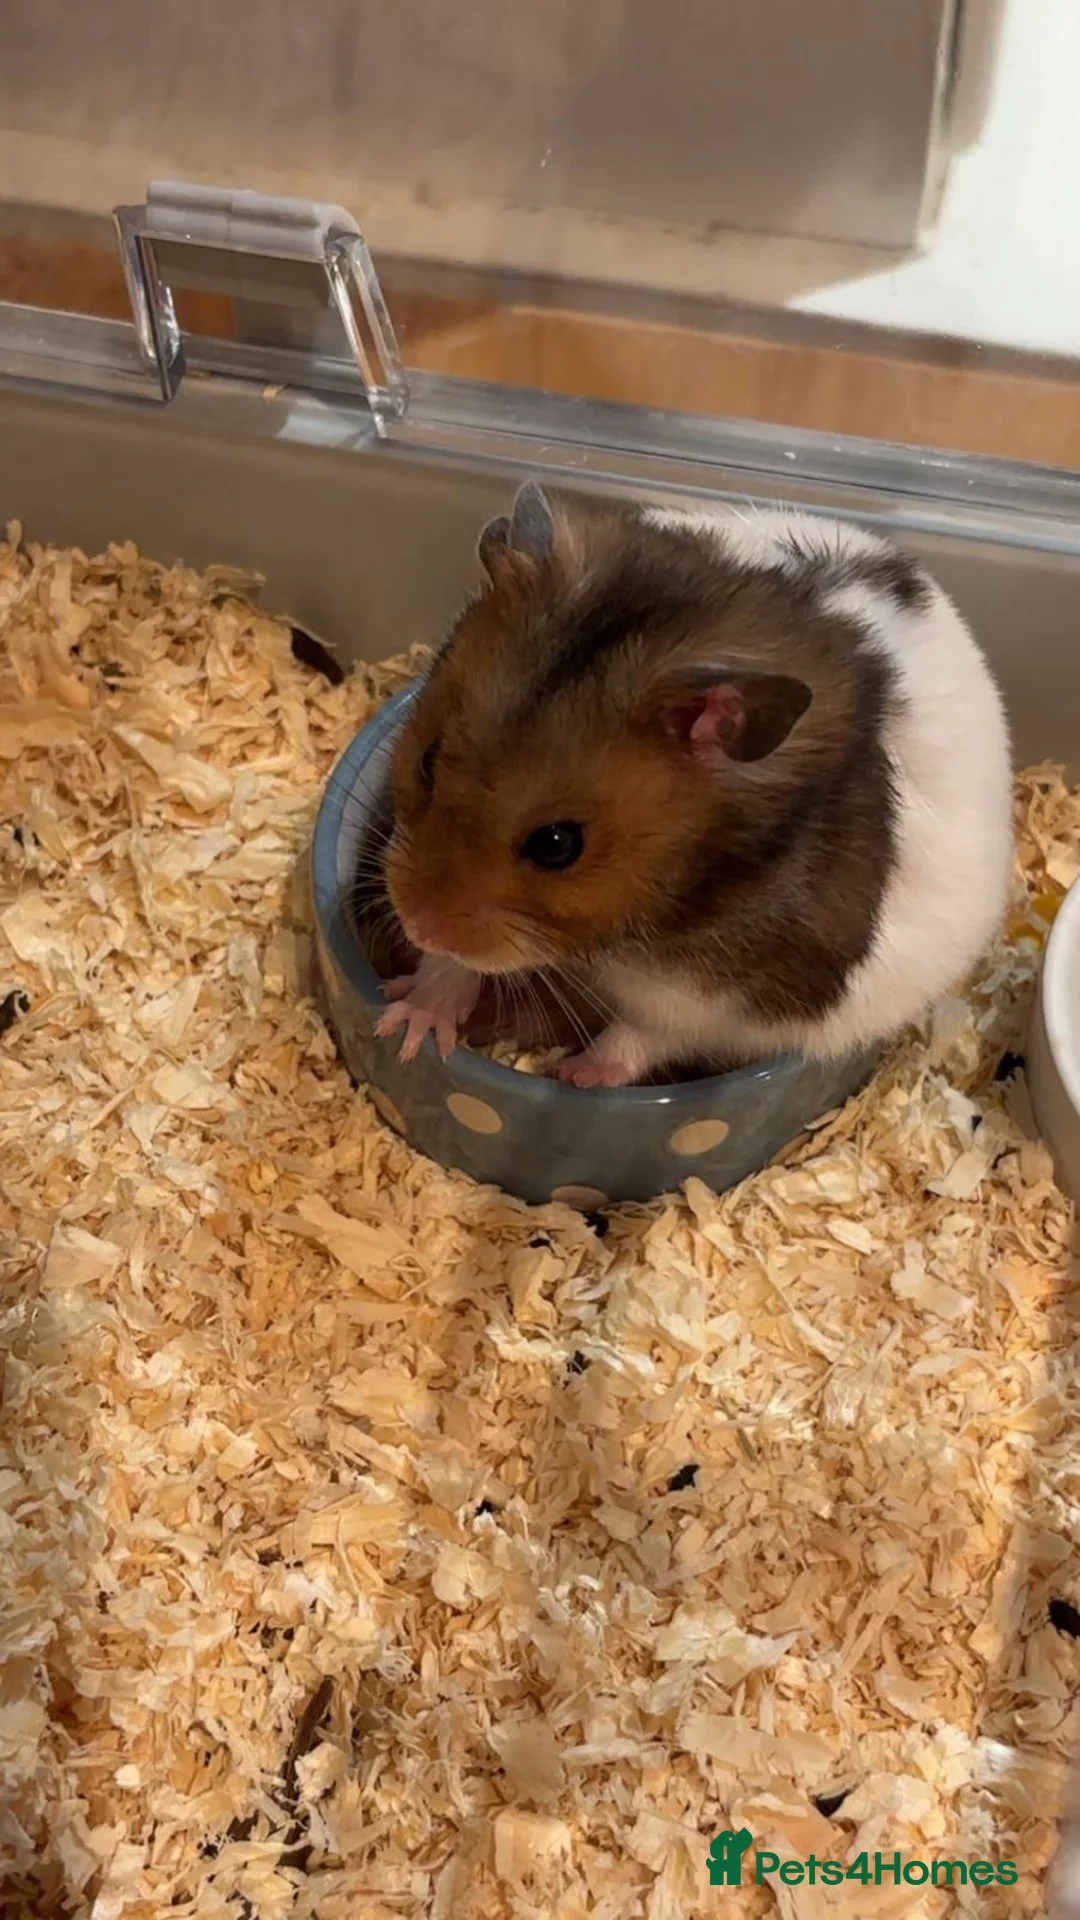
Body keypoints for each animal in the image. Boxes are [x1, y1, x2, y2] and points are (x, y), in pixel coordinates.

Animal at [374, 482, 1013, 1087]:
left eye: (557, 845)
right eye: (427, 760)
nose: (418, 925)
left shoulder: (718, 1005)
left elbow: (645, 1033)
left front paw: (576, 1076)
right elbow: (457, 968)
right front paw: (406, 1023)